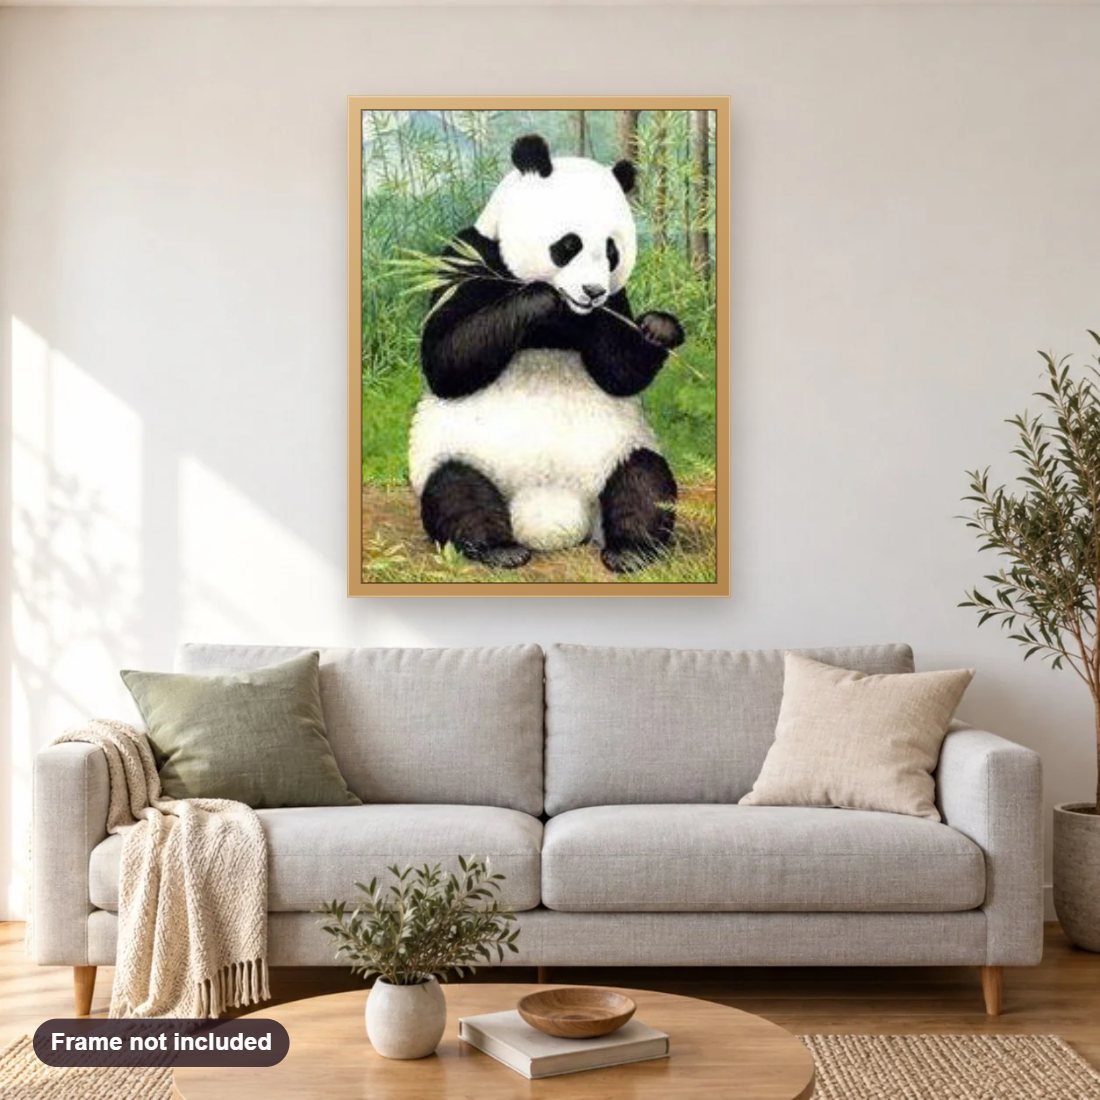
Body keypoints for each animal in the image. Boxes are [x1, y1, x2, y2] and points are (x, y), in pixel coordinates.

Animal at [408, 133, 685, 573]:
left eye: (612, 252)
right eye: (569, 244)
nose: (592, 291)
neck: (566, 319)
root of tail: (548, 517)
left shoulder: (611, 304)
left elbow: (620, 372)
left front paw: (659, 328)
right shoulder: (467, 255)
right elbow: (445, 359)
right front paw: (538, 297)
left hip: (618, 454)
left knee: (645, 481)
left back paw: (631, 550)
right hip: (457, 455)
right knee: (456, 492)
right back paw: (498, 548)